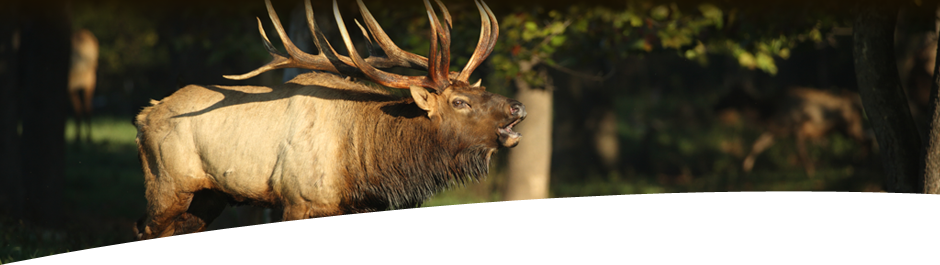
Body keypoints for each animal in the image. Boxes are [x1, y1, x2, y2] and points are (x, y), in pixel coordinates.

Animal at [130, 0, 520, 262]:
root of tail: (143, 115)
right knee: (142, 239)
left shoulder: (367, 213)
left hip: (210, 197)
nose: (517, 107)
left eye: (481, 89)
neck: (365, 161)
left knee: (164, 252)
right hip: (167, 186)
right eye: (459, 102)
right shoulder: (293, 203)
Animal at [712, 86, 872, 176]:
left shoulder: (797, 127)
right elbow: (757, 145)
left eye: (730, 96)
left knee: (867, 139)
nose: (715, 106)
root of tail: (858, 104)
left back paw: (861, 161)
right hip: (845, 128)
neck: (768, 112)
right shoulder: (777, 131)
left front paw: (810, 171)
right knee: (867, 137)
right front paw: (745, 167)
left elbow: (800, 150)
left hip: (848, 126)